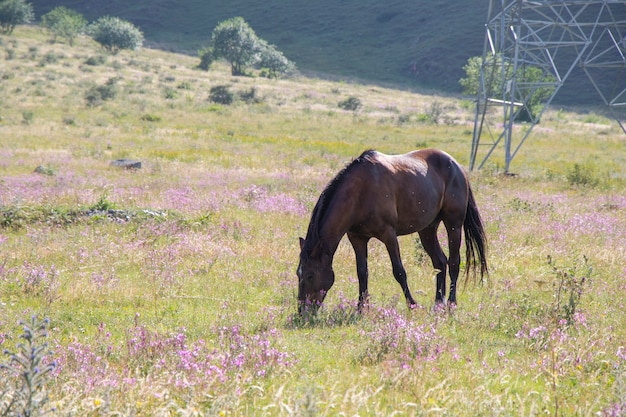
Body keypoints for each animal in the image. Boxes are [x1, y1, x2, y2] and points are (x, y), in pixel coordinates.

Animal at [298, 148, 488, 310]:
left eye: (310, 275)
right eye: (298, 274)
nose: (302, 311)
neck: (361, 192)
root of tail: (457, 167)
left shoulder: (388, 234)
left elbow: (399, 271)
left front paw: (412, 304)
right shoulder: (357, 238)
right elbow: (362, 272)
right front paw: (361, 308)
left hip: (453, 224)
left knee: (454, 262)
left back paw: (451, 303)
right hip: (427, 229)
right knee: (440, 262)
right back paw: (437, 303)